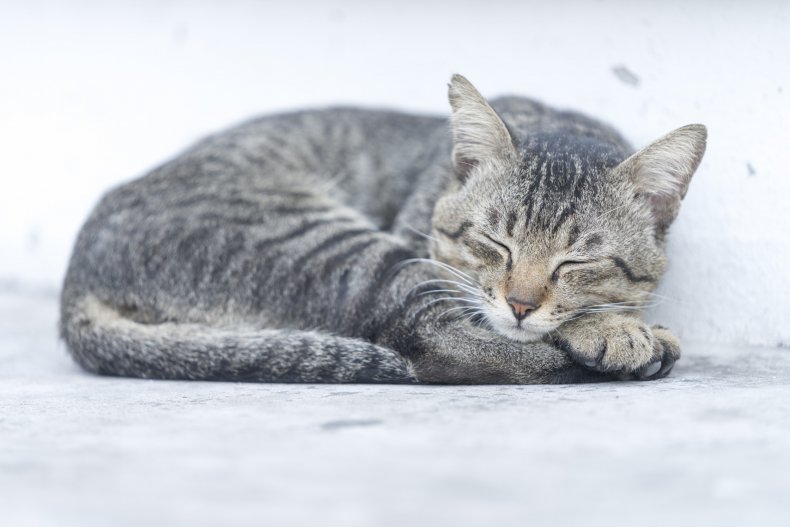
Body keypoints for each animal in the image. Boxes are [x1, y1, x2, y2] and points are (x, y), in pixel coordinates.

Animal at [60, 75, 704, 384]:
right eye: (495, 242)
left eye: (575, 262)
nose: (521, 304)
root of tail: (74, 283)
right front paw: (614, 330)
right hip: (340, 248)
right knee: (437, 345)